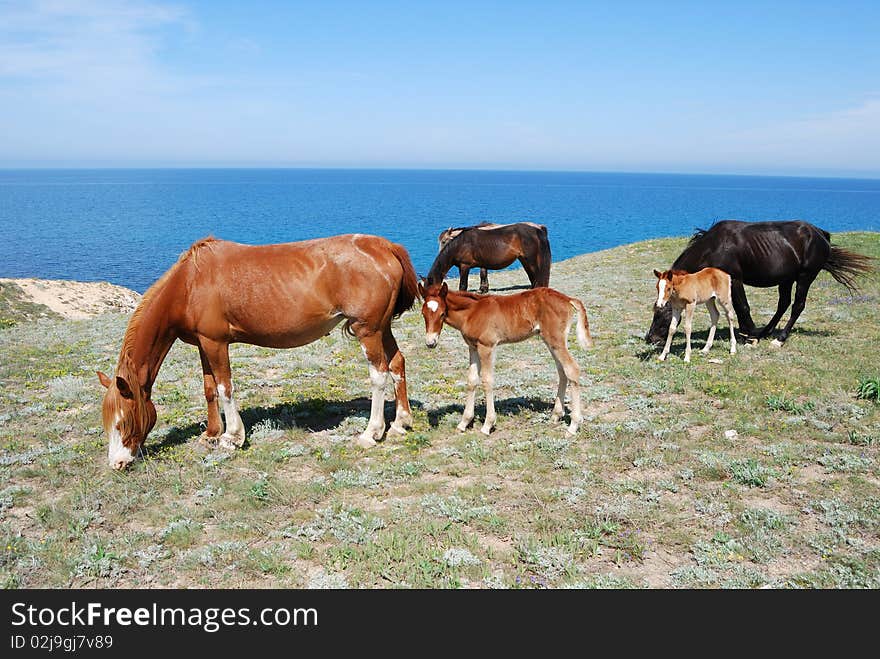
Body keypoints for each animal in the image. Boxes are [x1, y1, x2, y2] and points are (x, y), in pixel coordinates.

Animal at [96, 235, 420, 472]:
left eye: (122, 422)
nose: (117, 463)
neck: (189, 284)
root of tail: (383, 246)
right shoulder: (203, 343)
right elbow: (209, 389)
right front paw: (211, 433)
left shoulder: (216, 342)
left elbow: (225, 387)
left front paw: (232, 437)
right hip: (382, 328)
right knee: (397, 364)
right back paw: (400, 423)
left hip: (368, 330)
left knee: (379, 375)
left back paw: (371, 432)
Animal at [418, 282, 592, 436]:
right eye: (423, 314)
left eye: (442, 313)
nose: (430, 342)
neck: (472, 312)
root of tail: (568, 299)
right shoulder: (473, 347)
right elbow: (472, 380)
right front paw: (464, 423)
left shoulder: (487, 346)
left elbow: (487, 381)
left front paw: (488, 425)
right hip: (550, 341)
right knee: (562, 371)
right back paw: (556, 415)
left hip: (555, 340)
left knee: (572, 369)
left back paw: (573, 426)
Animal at [648, 220, 872, 346]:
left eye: (660, 313)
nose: (650, 338)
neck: (714, 246)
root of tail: (820, 234)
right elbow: (738, 309)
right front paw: (748, 333)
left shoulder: (735, 279)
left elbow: (742, 307)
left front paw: (748, 335)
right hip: (786, 279)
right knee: (783, 304)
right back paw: (765, 332)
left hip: (805, 277)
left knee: (797, 305)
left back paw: (779, 339)